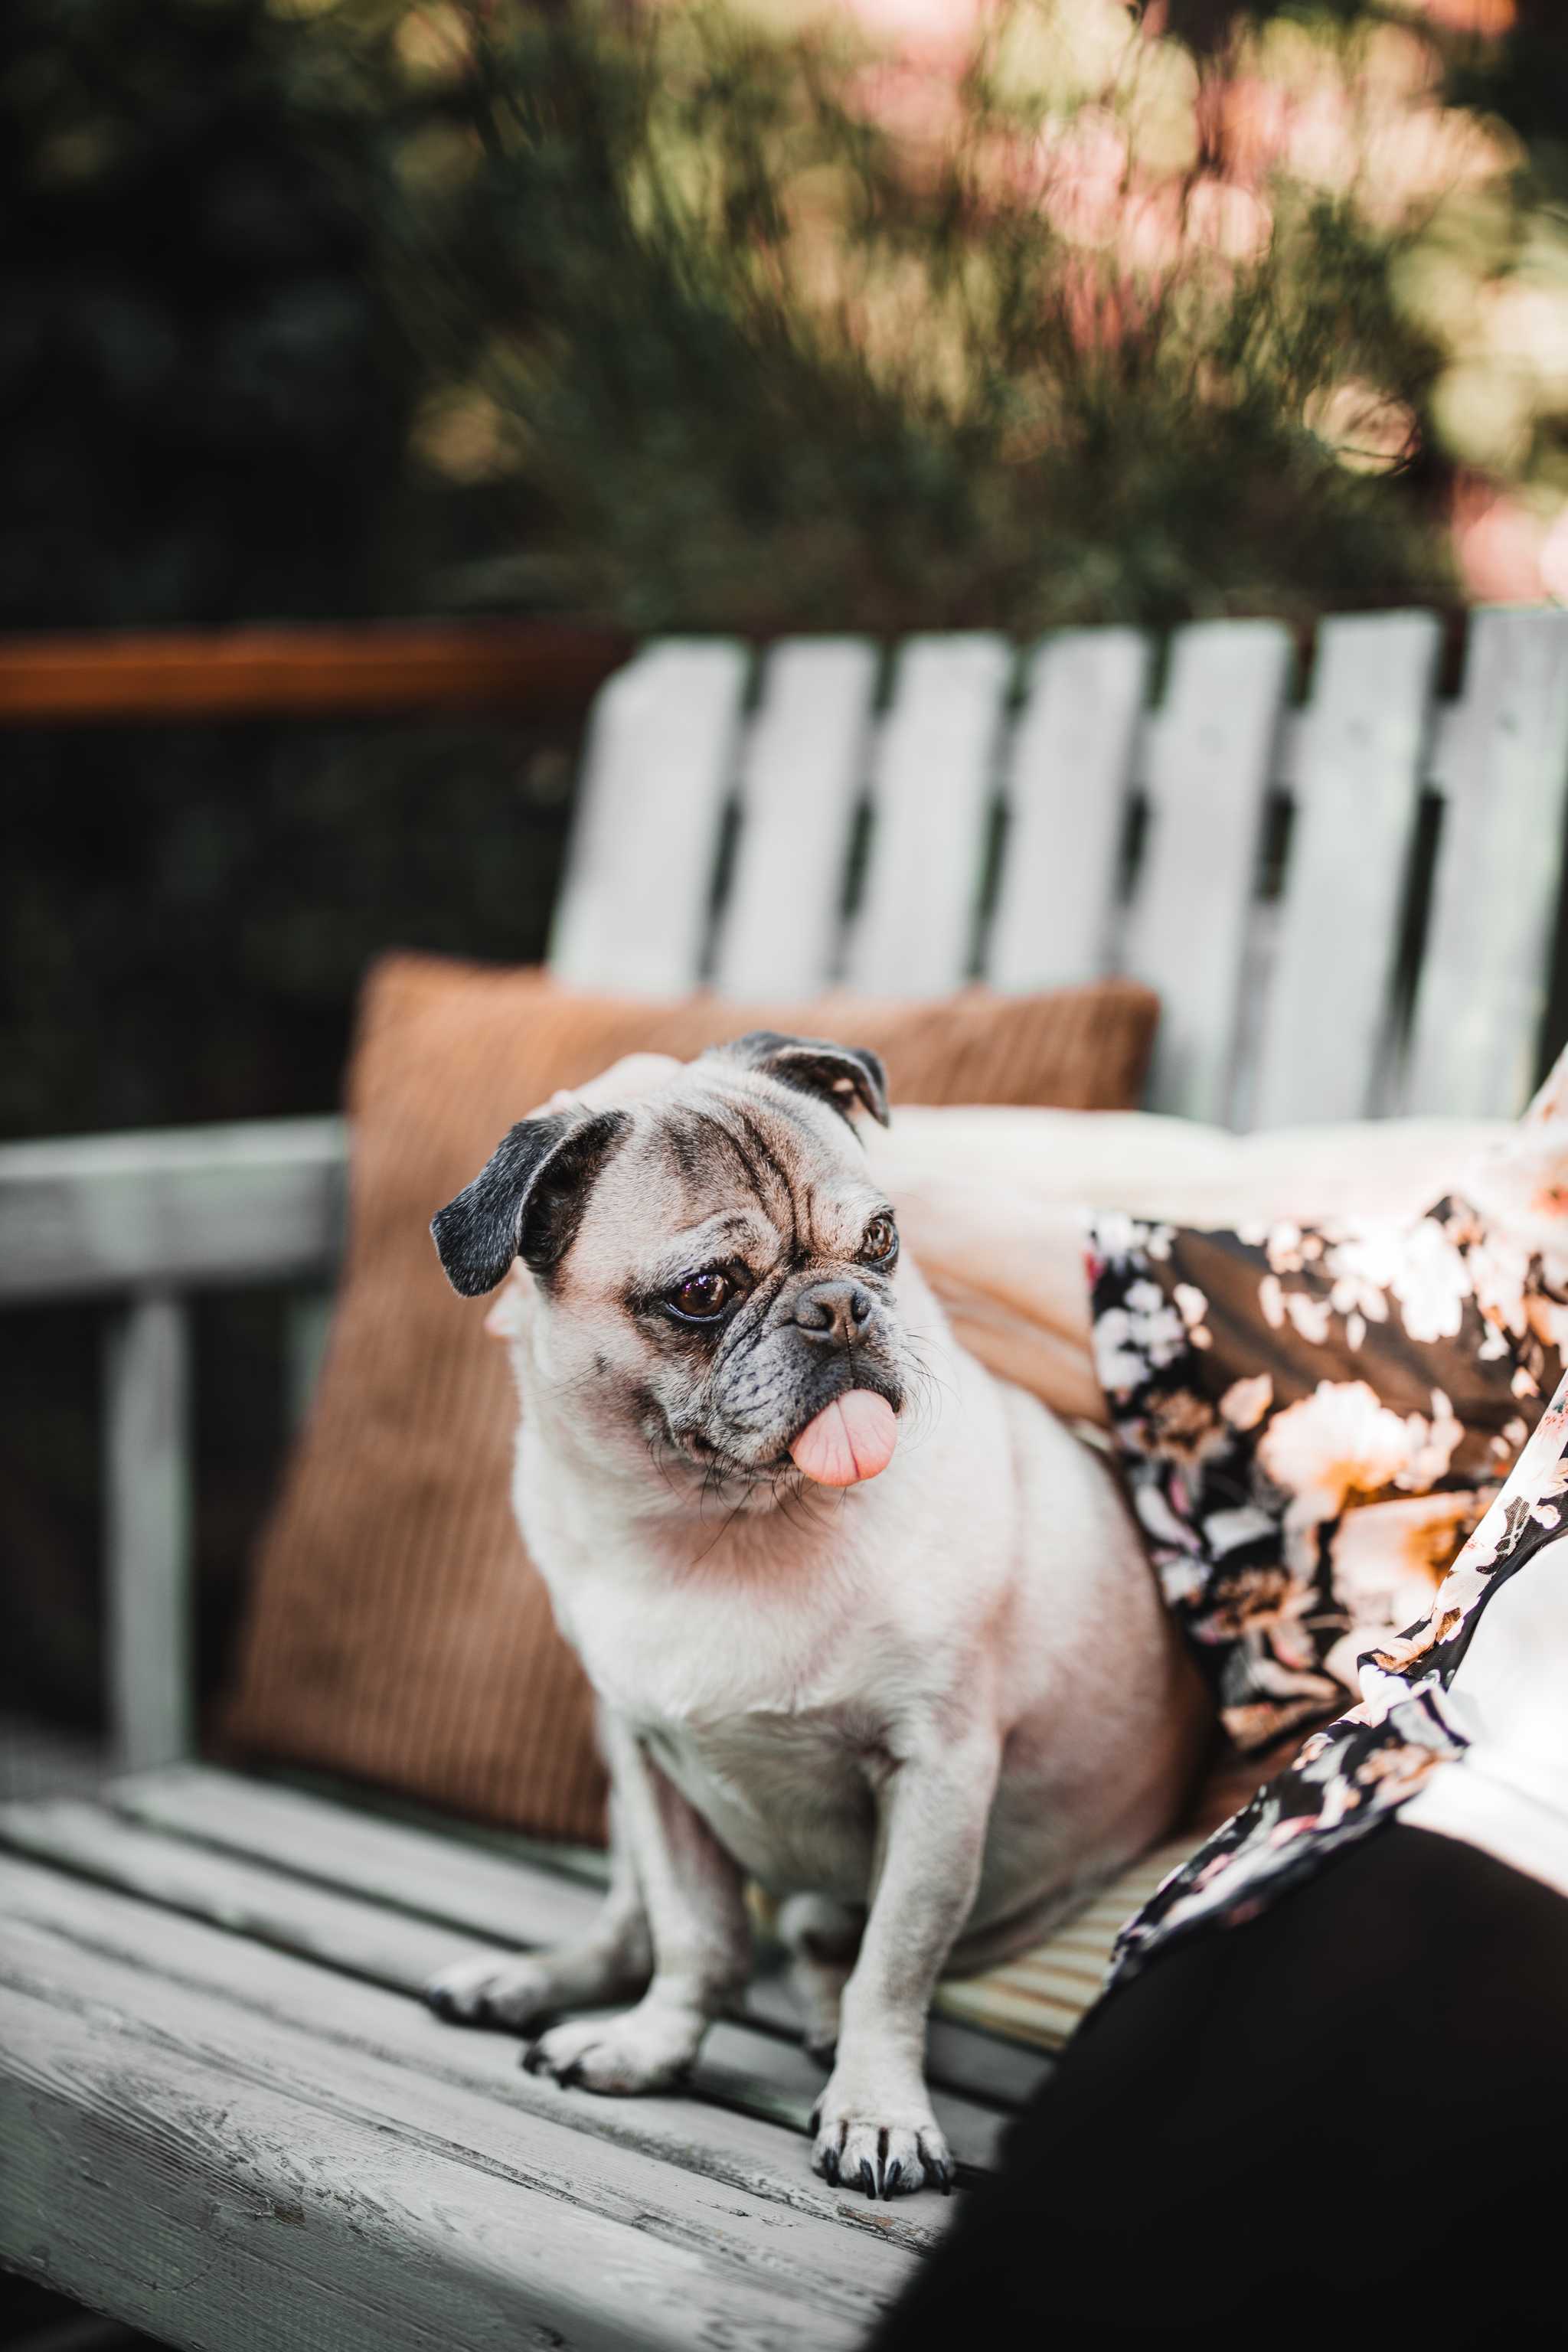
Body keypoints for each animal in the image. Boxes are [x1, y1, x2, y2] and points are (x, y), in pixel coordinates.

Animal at [423, 1039, 1213, 2192]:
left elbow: (893, 1965)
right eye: (704, 1293)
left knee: (831, 1952)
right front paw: (652, 2046)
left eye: (879, 1239)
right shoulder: (649, 1763)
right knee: (633, 1925)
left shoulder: (937, 1774)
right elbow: (694, 1938)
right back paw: (541, 1981)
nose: (837, 1306)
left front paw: (878, 2112)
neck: (720, 1532)